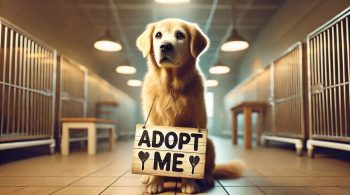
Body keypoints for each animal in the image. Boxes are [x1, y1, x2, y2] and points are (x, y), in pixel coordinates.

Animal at [137, 17, 243, 193]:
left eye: (180, 35)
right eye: (158, 35)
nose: (165, 46)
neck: (171, 87)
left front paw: (188, 184)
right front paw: (155, 183)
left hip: (210, 144)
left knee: (210, 169)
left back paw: (206, 178)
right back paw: (147, 178)